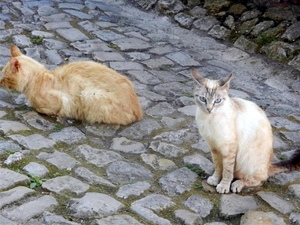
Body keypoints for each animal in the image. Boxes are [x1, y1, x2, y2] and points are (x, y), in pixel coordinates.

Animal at [0, 44, 143, 125]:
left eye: (5, 76)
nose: (0, 82)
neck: (40, 77)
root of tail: (138, 111)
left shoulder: (60, 102)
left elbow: (41, 109)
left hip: (89, 94)